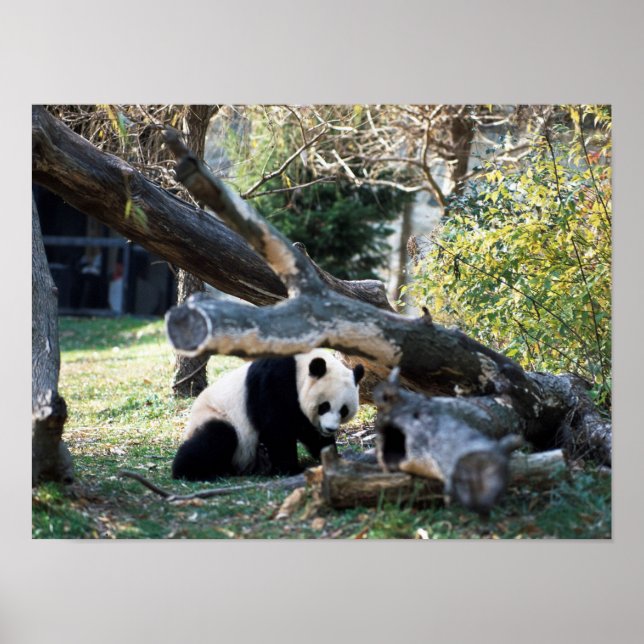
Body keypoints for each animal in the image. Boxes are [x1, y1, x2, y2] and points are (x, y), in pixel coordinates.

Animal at [172, 349, 365, 481]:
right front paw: (291, 468)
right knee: (216, 437)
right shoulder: (274, 382)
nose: (330, 429)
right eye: (324, 406)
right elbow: (277, 427)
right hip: (216, 415)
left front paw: (332, 456)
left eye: (344, 410)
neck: (300, 367)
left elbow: (309, 432)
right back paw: (187, 470)